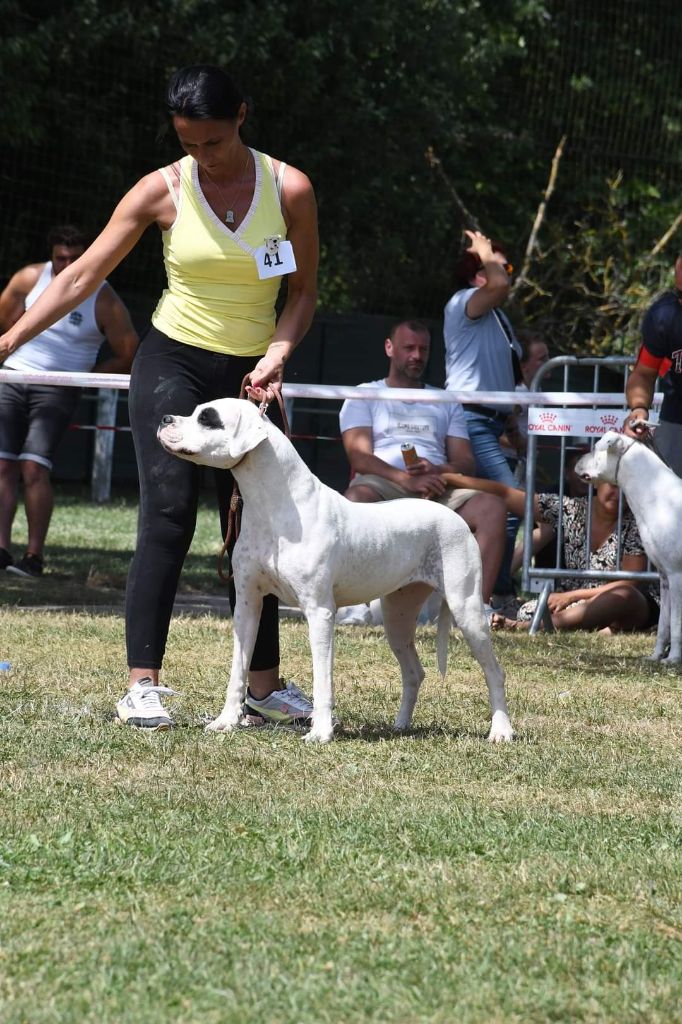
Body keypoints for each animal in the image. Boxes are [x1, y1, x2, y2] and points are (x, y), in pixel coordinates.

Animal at [156, 399, 512, 745]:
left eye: (207, 418)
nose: (164, 418)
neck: (273, 505)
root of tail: (454, 516)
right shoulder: (247, 606)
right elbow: (237, 671)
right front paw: (226, 721)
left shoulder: (319, 612)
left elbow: (322, 679)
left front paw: (321, 732)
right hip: (398, 616)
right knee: (414, 672)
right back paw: (401, 726)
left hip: (467, 609)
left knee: (495, 672)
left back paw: (501, 731)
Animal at [573, 434, 675, 663]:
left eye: (595, 449)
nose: (576, 459)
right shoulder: (665, 578)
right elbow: (664, 625)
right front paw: (656, 657)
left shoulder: (677, 575)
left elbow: (677, 624)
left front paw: (673, 659)